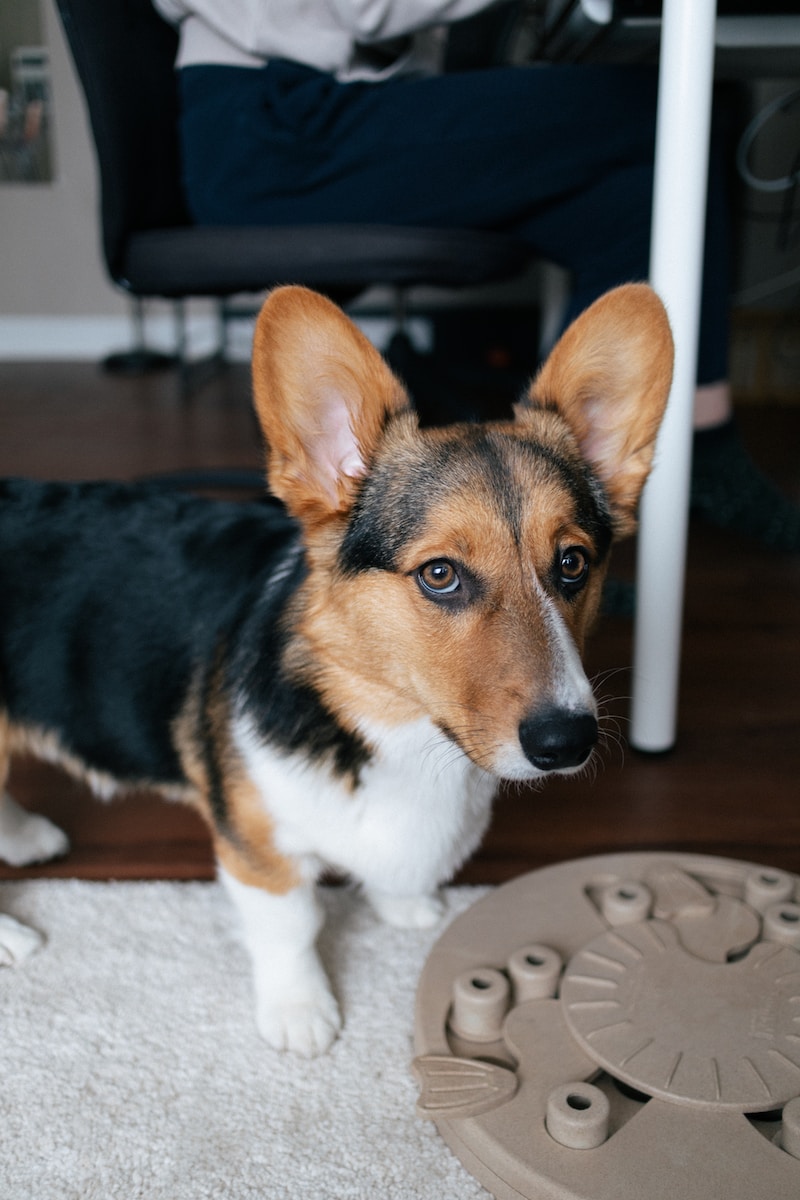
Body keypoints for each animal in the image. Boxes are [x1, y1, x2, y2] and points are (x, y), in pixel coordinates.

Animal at [0, 280, 671, 1051]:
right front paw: (301, 1013)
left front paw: (405, 906)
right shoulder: (258, 847)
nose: (567, 741)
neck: (387, 722)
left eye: (573, 563)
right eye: (440, 574)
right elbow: (292, 924)